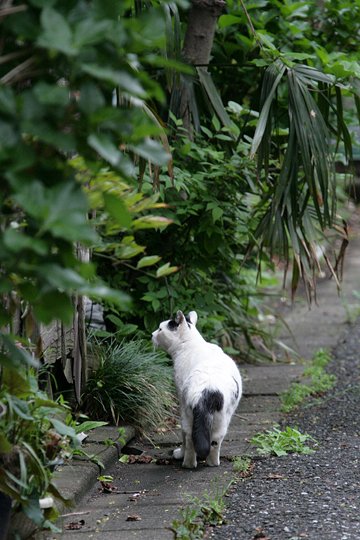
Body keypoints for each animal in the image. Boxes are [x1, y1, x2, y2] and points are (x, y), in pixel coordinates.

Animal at [152, 310, 242, 466]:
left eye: (160, 329)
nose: (152, 334)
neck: (191, 344)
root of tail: (207, 391)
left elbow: (183, 436)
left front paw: (179, 454)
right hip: (222, 419)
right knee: (215, 441)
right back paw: (213, 463)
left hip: (187, 415)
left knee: (188, 437)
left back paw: (187, 463)